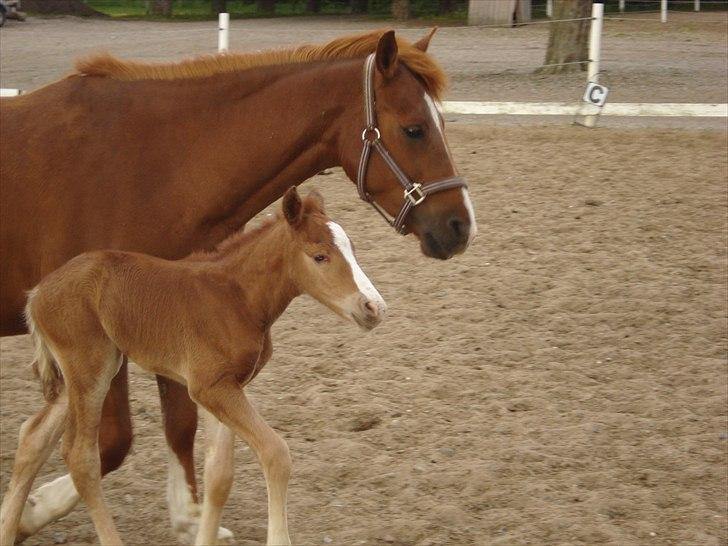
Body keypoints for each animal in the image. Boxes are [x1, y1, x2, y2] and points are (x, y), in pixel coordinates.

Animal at [0, 187, 386, 544]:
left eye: (352, 250)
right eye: (320, 256)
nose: (374, 307)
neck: (237, 297)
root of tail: (38, 293)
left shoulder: (228, 387)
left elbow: (219, 476)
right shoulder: (209, 386)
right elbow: (276, 453)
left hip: (86, 372)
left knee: (33, 438)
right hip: (90, 369)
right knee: (81, 457)